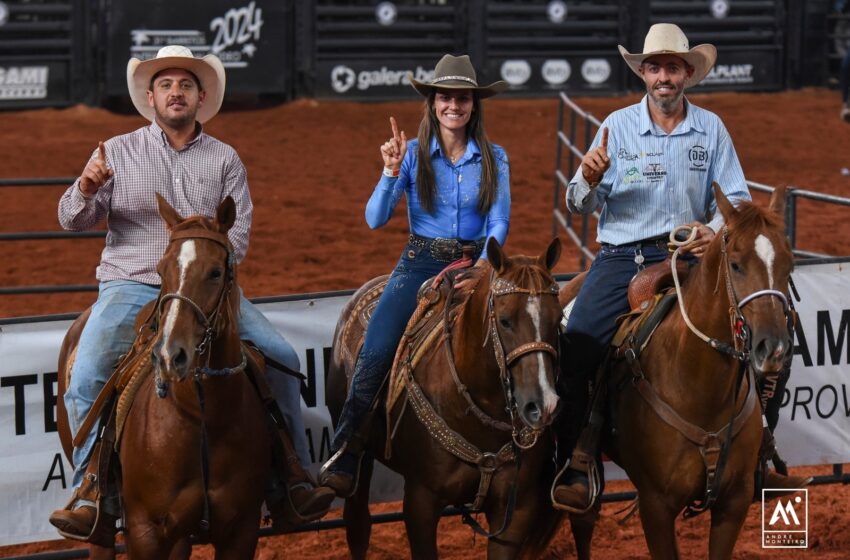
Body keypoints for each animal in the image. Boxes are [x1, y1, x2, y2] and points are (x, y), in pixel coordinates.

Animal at [57, 194, 268, 560]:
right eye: (160, 270)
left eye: (215, 272)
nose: (171, 354)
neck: (203, 416)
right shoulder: (146, 531)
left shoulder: (241, 528)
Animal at [324, 240, 588, 560]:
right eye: (505, 321)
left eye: (557, 318)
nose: (543, 404)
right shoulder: (421, 502)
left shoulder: (516, 511)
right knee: (358, 524)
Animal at [560, 185, 792, 560]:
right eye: (736, 264)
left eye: (789, 264)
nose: (774, 348)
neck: (698, 384)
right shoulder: (656, 506)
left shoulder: (734, 502)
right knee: (583, 519)